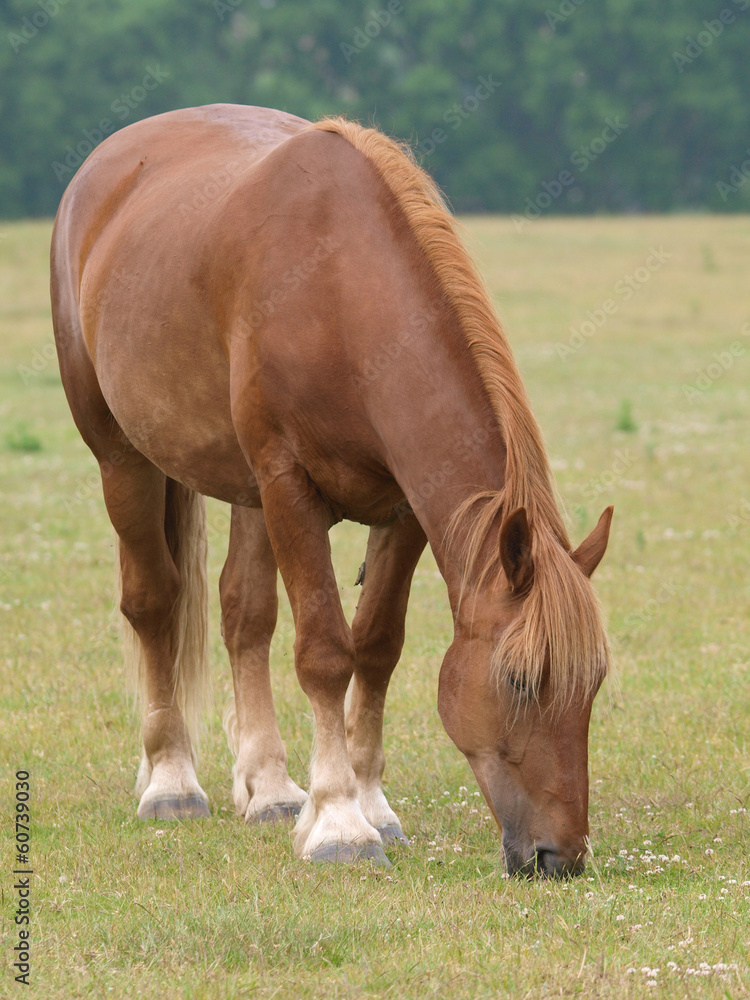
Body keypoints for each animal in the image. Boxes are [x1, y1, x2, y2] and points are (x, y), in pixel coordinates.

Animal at [50, 104, 613, 876]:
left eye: (594, 684)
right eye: (521, 681)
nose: (562, 856)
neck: (342, 293)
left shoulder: (403, 509)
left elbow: (375, 647)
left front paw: (368, 803)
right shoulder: (290, 486)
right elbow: (324, 652)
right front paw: (341, 824)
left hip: (245, 491)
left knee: (243, 614)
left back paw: (270, 786)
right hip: (124, 459)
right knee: (154, 601)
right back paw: (170, 781)